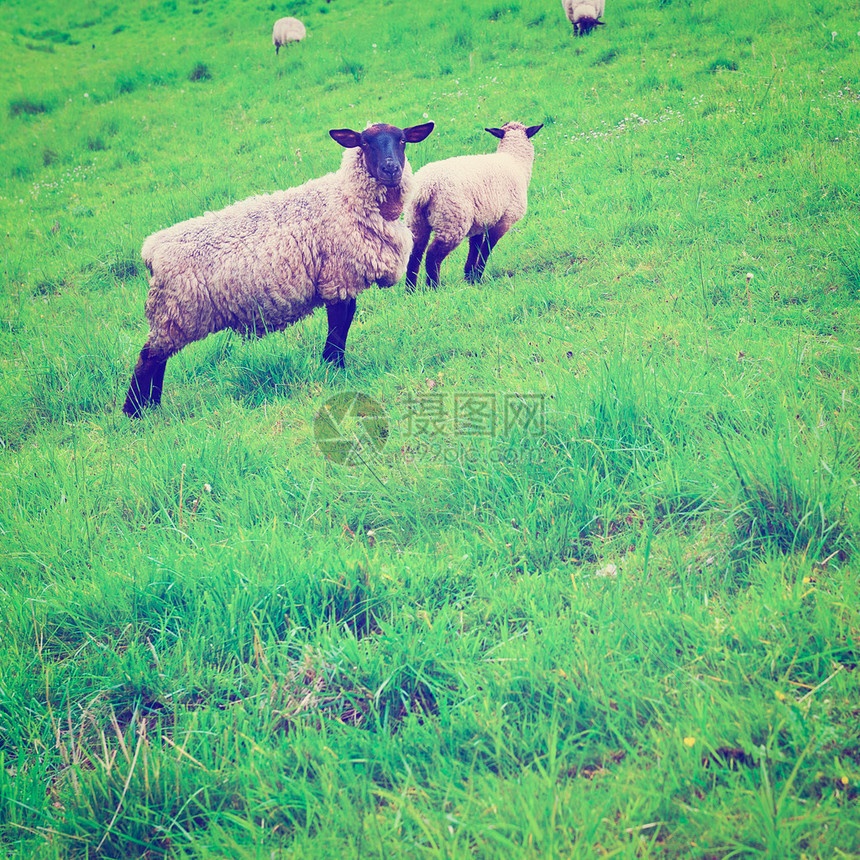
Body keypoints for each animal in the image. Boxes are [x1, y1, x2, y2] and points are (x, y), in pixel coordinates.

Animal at [121, 120, 436, 416]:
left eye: (402, 140)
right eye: (365, 143)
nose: (391, 169)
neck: (347, 197)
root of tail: (152, 250)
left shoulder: (344, 280)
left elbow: (345, 322)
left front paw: (332, 363)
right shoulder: (336, 278)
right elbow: (338, 326)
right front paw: (335, 368)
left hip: (171, 315)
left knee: (158, 359)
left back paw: (152, 407)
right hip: (176, 312)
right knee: (147, 359)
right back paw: (134, 413)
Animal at [404, 120, 540, 292]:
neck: (515, 161)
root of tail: (425, 186)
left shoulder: (481, 220)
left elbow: (474, 247)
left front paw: (470, 277)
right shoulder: (504, 220)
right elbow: (486, 248)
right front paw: (478, 275)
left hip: (416, 220)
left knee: (415, 254)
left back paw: (410, 291)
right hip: (452, 221)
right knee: (433, 255)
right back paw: (434, 287)